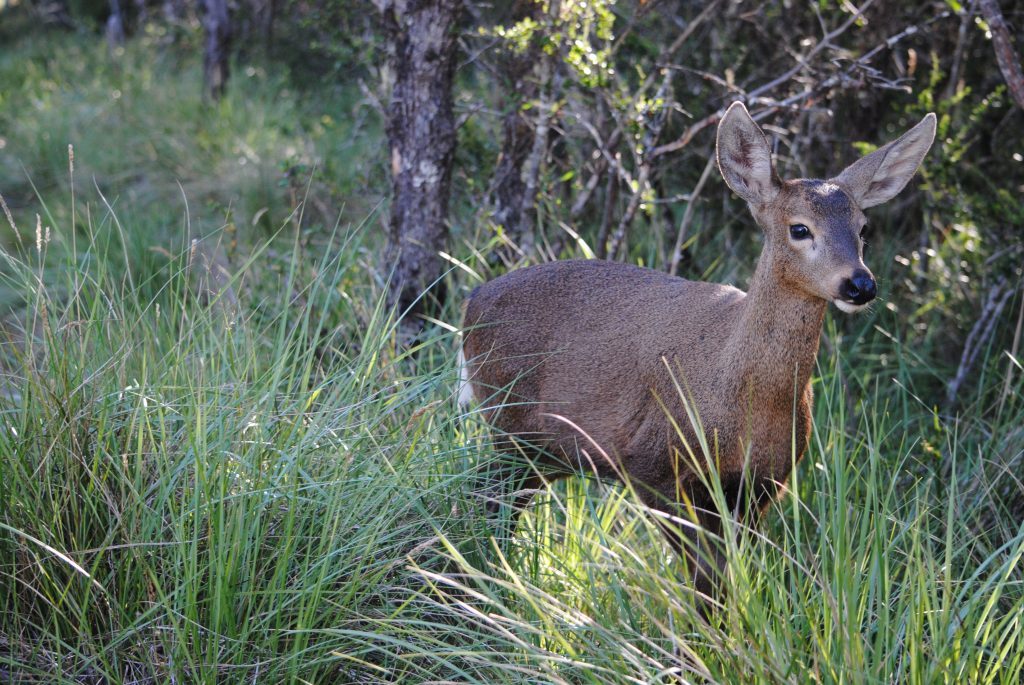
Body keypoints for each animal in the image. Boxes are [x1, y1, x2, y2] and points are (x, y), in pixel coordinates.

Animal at [456, 102, 937, 610]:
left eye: (864, 228)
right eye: (800, 228)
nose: (860, 284)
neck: (741, 394)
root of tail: (472, 301)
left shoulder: (760, 483)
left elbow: (726, 579)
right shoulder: (652, 465)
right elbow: (705, 583)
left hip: (543, 451)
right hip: (511, 424)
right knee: (484, 502)